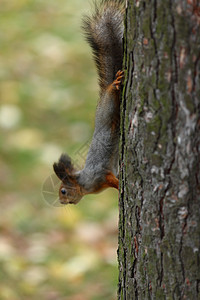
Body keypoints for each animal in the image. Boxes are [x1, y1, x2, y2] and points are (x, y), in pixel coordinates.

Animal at [54, 0, 124, 204]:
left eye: (63, 191)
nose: (61, 202)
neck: (84, 183)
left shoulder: (99, 175)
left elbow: (111, 179)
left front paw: (120, 186)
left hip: (108, 107)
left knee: (111, 93)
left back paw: (114, 84)